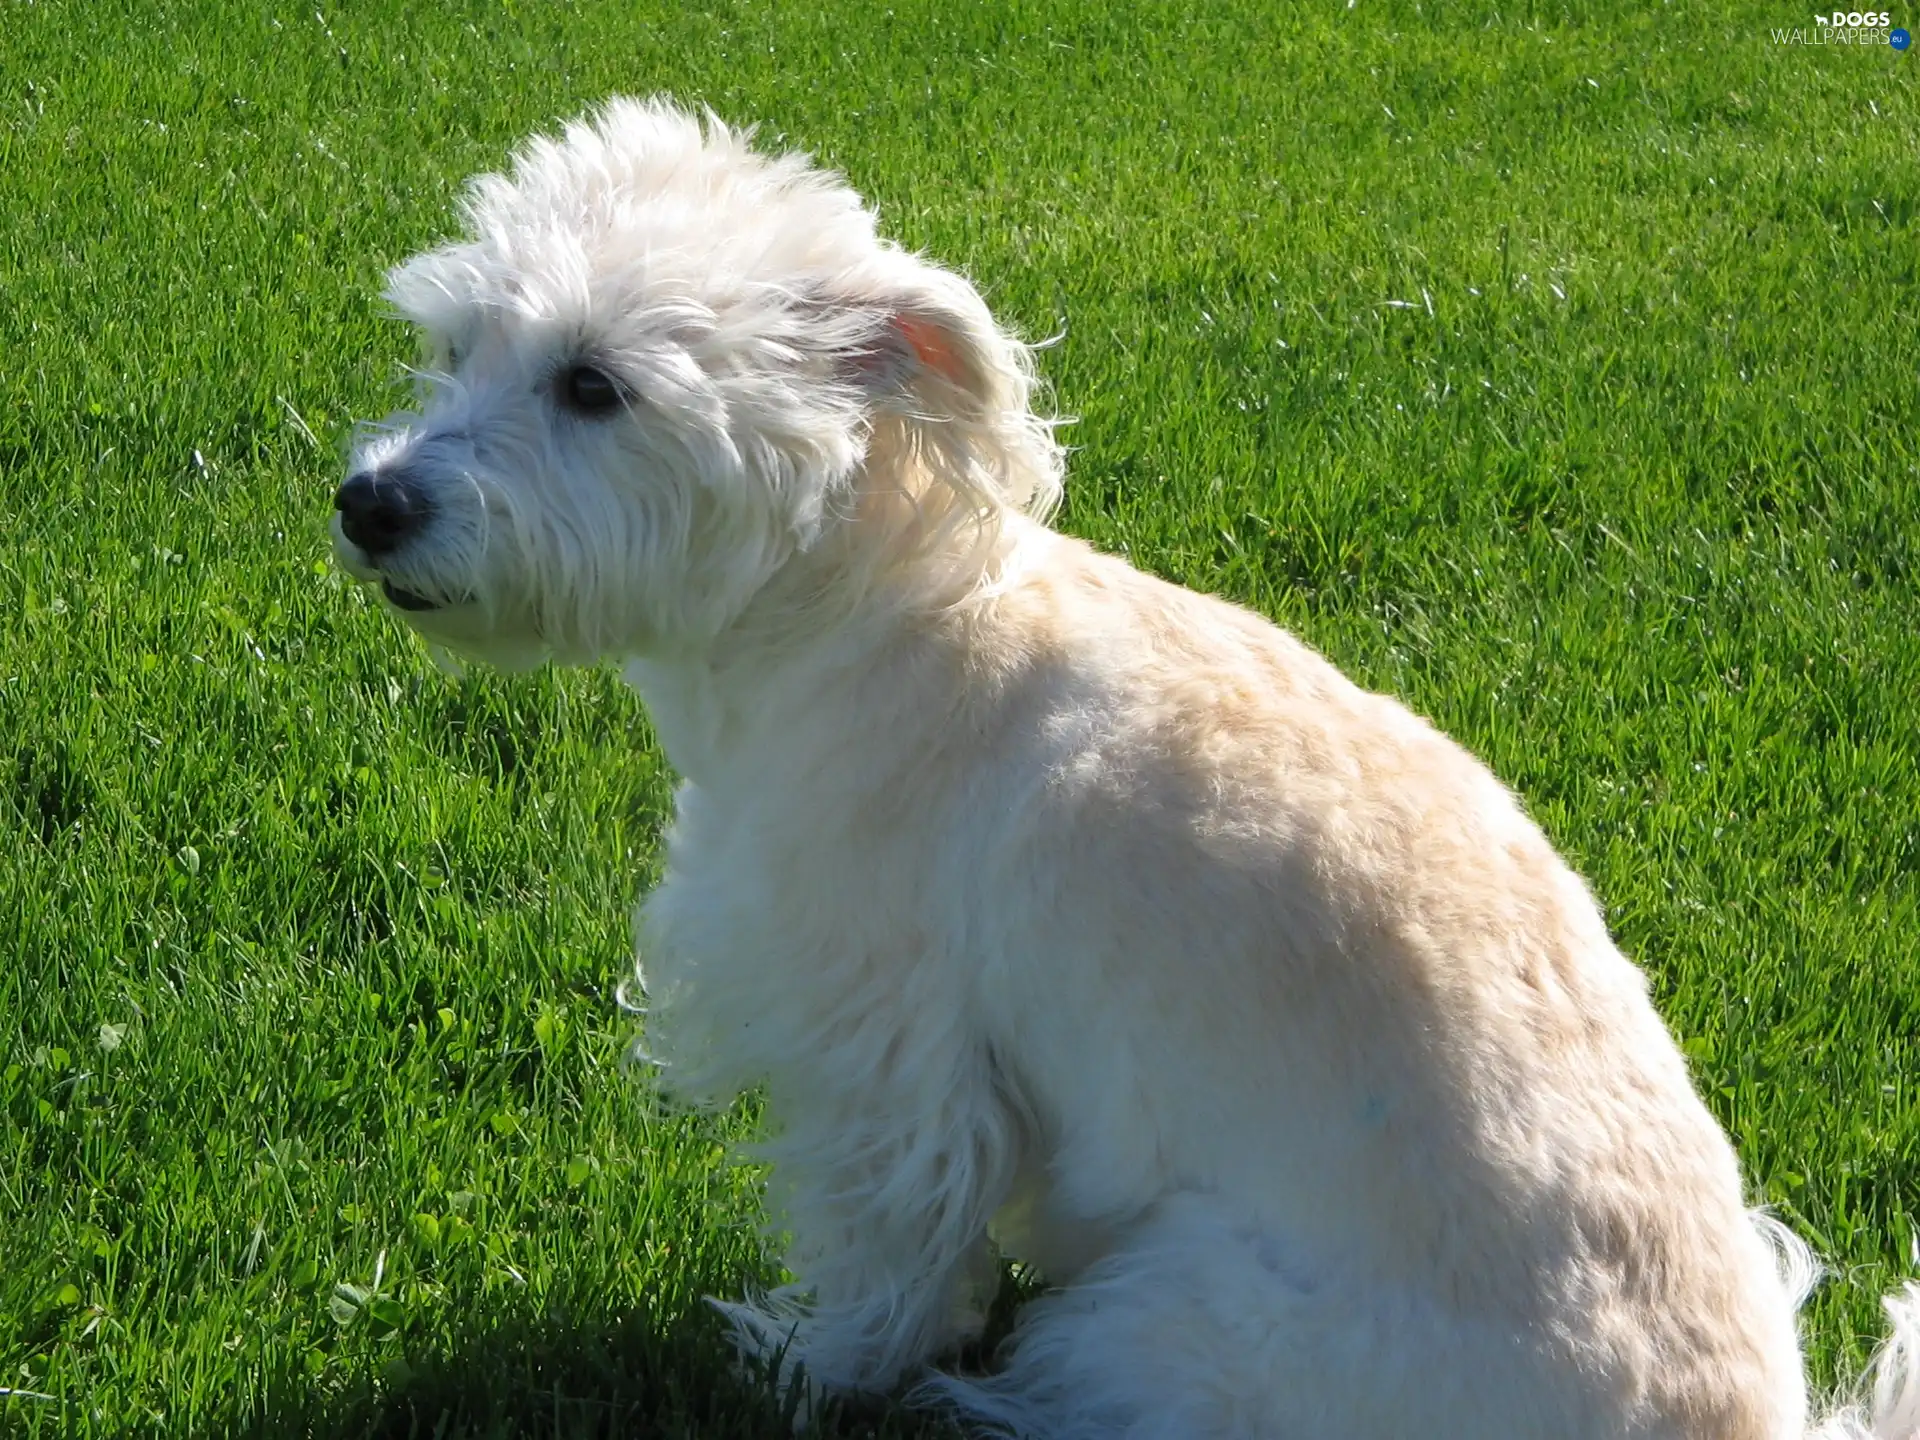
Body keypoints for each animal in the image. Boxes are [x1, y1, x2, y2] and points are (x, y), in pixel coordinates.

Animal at [337, 96, 1912, 1436]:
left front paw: (809, 1363)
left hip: (1175, 1314)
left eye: (595, 385)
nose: (368, 502)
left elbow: (886, 1259)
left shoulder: (886, 1059)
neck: (865, 618)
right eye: (457, 345)